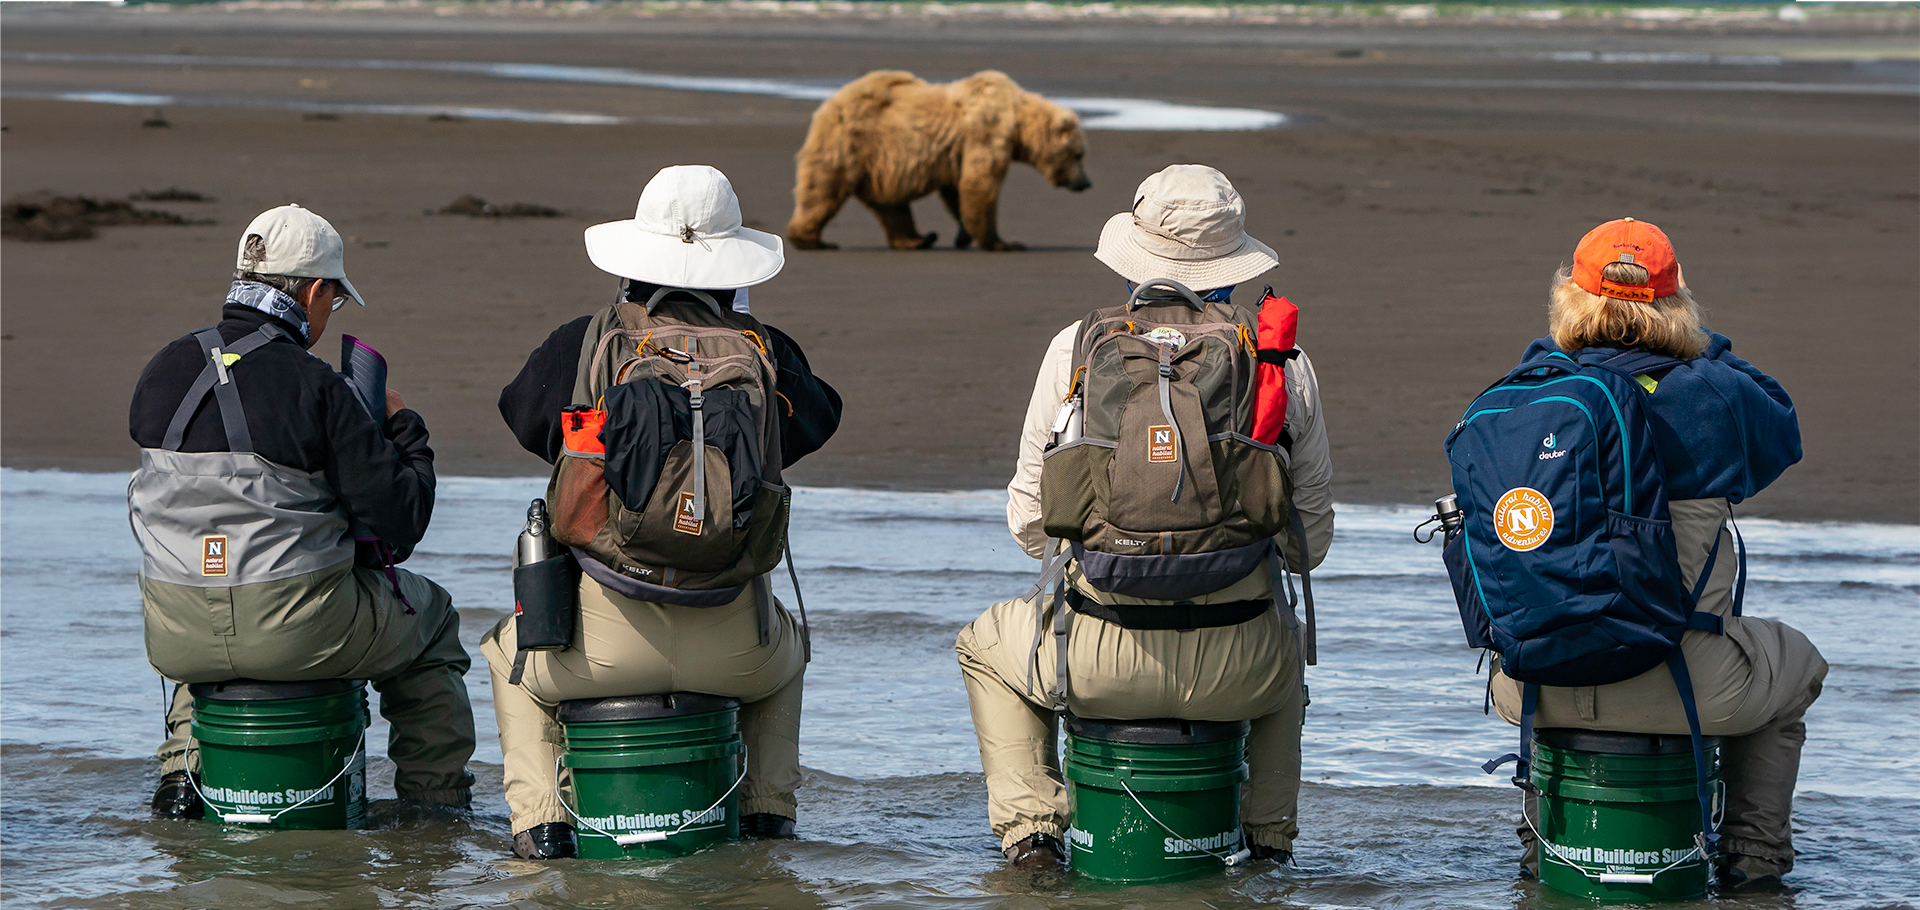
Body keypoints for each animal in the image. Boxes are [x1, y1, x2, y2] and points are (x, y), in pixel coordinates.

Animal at [787, 70, 1091, 252]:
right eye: (1078, 154)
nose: (1086, 183)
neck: (1017, 122)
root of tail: (827, 105)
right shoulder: (986, 133)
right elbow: (980, 187)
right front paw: (1004, 242)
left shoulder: (961, 151)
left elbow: (957, 192)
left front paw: (964, 234)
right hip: (852, 143)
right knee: (823, 188)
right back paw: (811, 239)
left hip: (878, 163)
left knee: (891, 206)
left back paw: (917, 239)